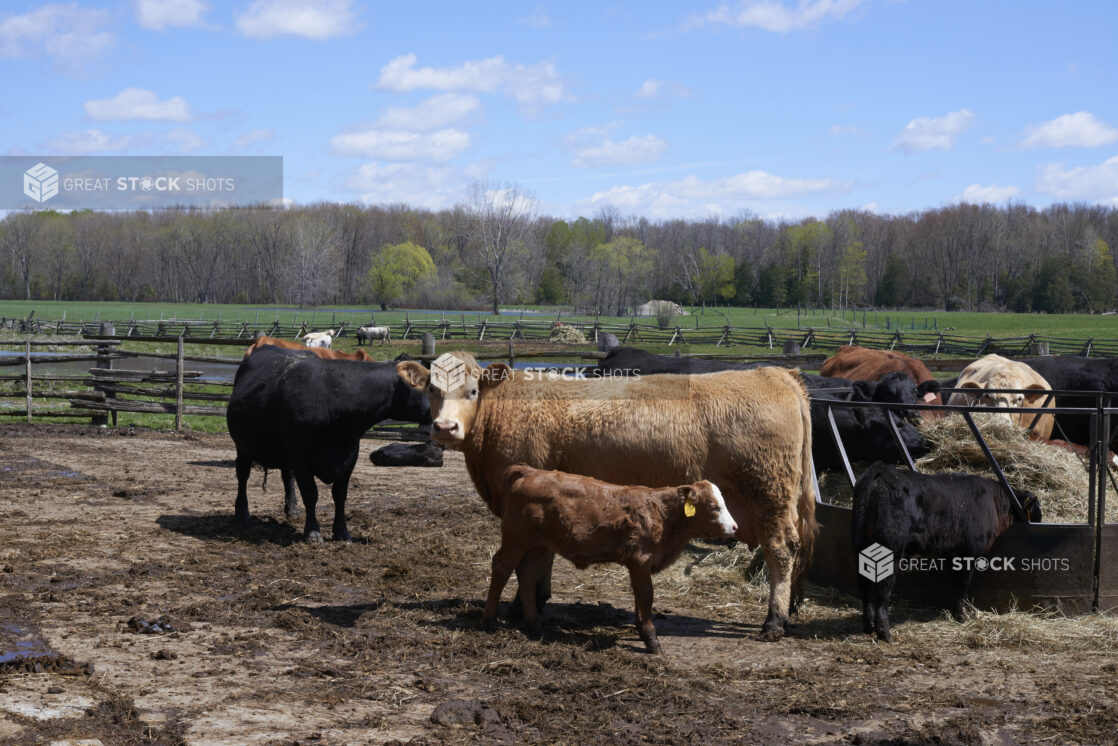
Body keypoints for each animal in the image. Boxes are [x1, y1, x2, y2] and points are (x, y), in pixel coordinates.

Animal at [228, 344, 431, 543]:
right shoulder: (301, 457)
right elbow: (310, 493)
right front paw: (313, 532)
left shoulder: (350, 455)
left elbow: (340, 495)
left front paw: (342, 532)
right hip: (243, 447)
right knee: (243, 474)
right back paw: (242, 513)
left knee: (287, 476)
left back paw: (292, 509)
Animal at [487, 463, 733, 657]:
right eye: (713, 506)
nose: (734, 527)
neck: (663, 514)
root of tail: (530, 471)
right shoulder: (641, 562)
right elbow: (646, 597)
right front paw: (651, 640)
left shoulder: (639, 566)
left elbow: (639, 599)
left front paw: (642, 632)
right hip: (516, 539)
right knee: (501, 567)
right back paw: (489, 621)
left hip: (538, 545)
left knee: (527, 577)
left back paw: (534, 625)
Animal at [854, 460, 1037, 644]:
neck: (994, 501)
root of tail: (882, 470)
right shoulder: (968, 554)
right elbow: (962, 586)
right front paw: (961, 617)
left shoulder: (953, 554)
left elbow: (955, 584)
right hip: (890, 551)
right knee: (881, 592)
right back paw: (885, 633)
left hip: (862, 546)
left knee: (865, 587)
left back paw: (868, 627)